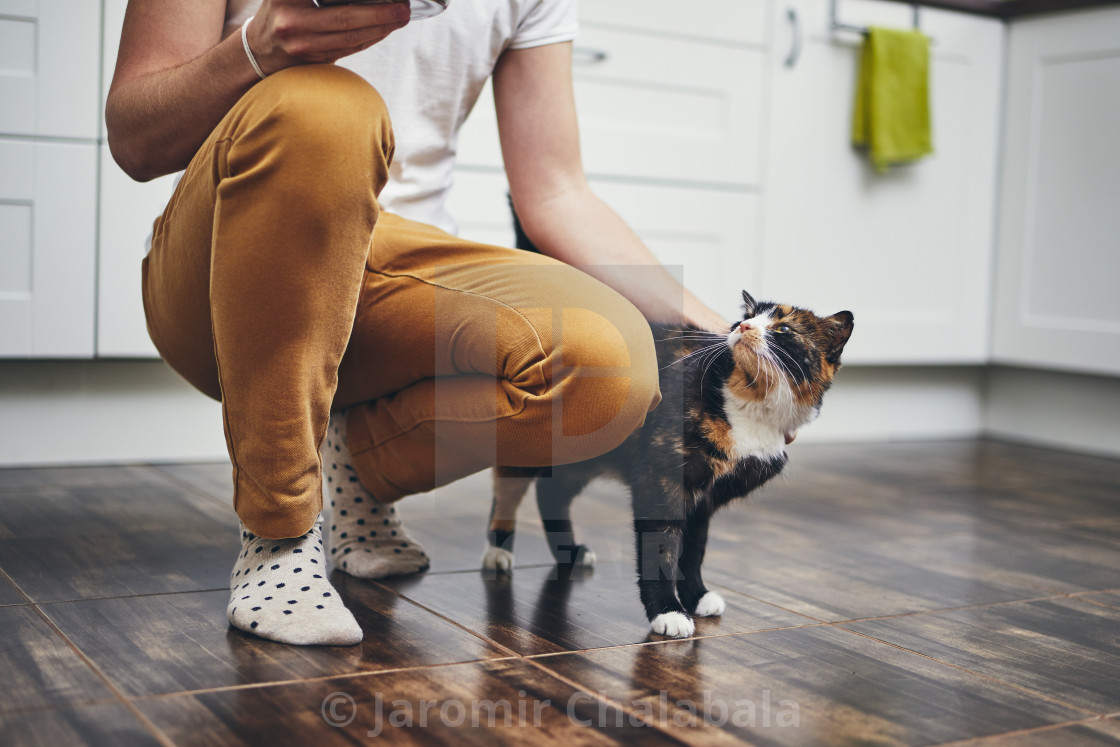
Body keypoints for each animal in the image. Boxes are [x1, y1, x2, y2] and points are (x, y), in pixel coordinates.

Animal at [477, 288, 851, 640]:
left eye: (784, 328)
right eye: (745, 318)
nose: (744, 327)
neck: (749, 405)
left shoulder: (705, 500)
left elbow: (694, 551)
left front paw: (697, 596)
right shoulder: (661, 482)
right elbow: (661, 550)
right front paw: (668, 612)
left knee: (551, 493)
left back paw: (569, 552)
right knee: (508, 490)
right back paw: (498, 553)